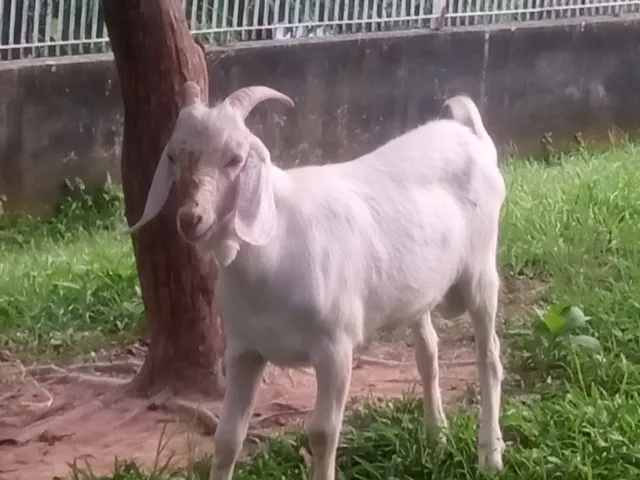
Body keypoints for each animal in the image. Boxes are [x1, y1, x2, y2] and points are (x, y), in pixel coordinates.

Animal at [124, 82, 506, 480]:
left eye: (235, 158)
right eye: (173, 156)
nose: (191, 219)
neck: (273, 252)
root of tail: (471, 134)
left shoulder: (335, 347)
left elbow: (323, 433)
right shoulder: (244, 350)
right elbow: (227, 437)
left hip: (481, 273)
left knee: (489, 359)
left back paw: (490, 455)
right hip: (418, 291)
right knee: (428, 353)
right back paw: (437, 435)